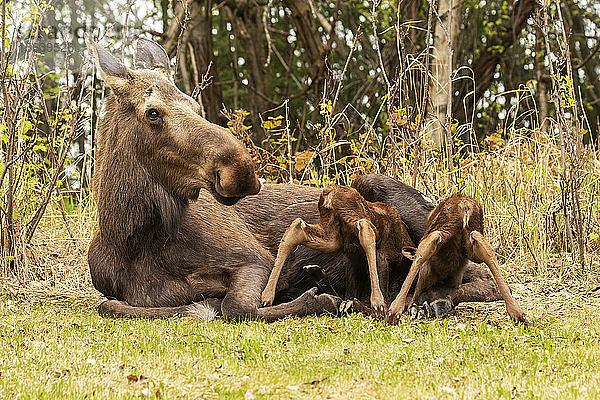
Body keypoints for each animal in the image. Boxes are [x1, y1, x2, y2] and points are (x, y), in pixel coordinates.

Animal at [260, 184, 414, 316]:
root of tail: (329, 191)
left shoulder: (352, 256)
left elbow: (351, 292)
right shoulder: (383, 256)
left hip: (331, 233)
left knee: (297, 226)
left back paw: (267, 296)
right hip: (351, 214)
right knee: (365, 226)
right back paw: (377, 301)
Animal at [386, 195, 528, 324]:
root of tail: (464, 206)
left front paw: (416, 306)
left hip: (445, 229)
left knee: (429, 243)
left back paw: (395, 310)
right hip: (471, 239)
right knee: (484, 247)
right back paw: (517, 313)